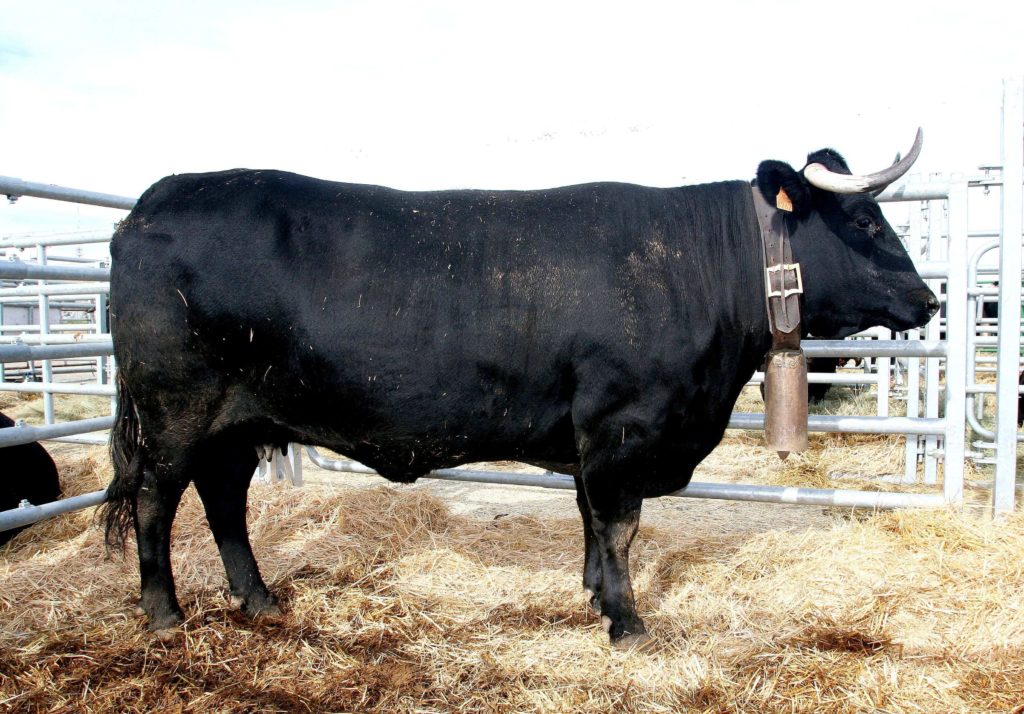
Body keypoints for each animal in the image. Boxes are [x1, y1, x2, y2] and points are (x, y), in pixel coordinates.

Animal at [101, 133, 937, 647]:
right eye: (865, 220)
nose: (928, 298)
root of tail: (150, 204)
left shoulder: (589, 437)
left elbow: (591, 524)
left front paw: (595, 597)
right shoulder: (620, 428)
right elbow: (619, 527)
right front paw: (627, 623)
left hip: (236, 423)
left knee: (224, 502)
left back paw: (259, 598)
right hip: (175, 412)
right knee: (154, 504)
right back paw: (164, 613)